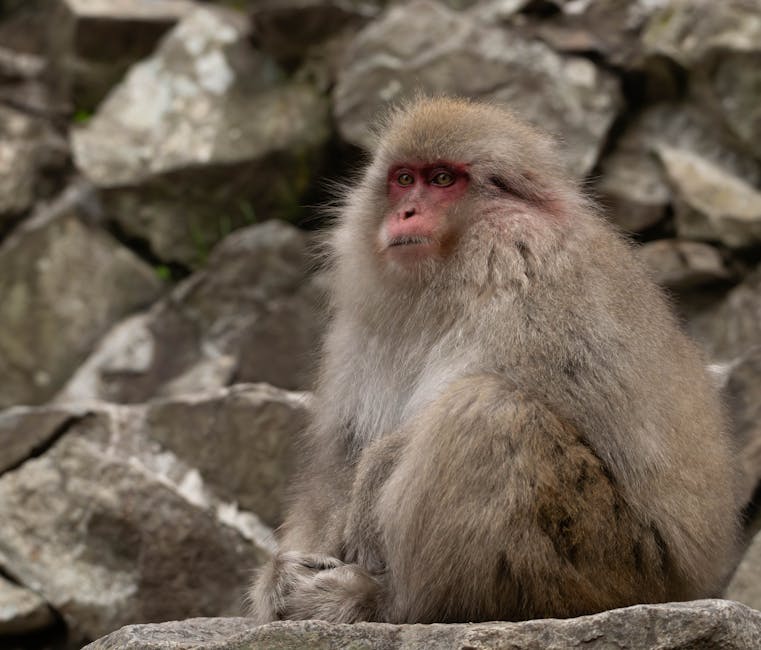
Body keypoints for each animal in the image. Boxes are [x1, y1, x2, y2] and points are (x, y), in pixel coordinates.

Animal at [249, 96, 740, 624]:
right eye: (404, 178)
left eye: (443, 179)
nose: (405, 211)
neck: (449, 271)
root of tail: (685, 586)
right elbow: (345, 444)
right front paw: (279, 578)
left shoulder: (524, 272)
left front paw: (376, 474)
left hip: (610, 562)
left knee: (487, 410)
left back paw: (386, 602)